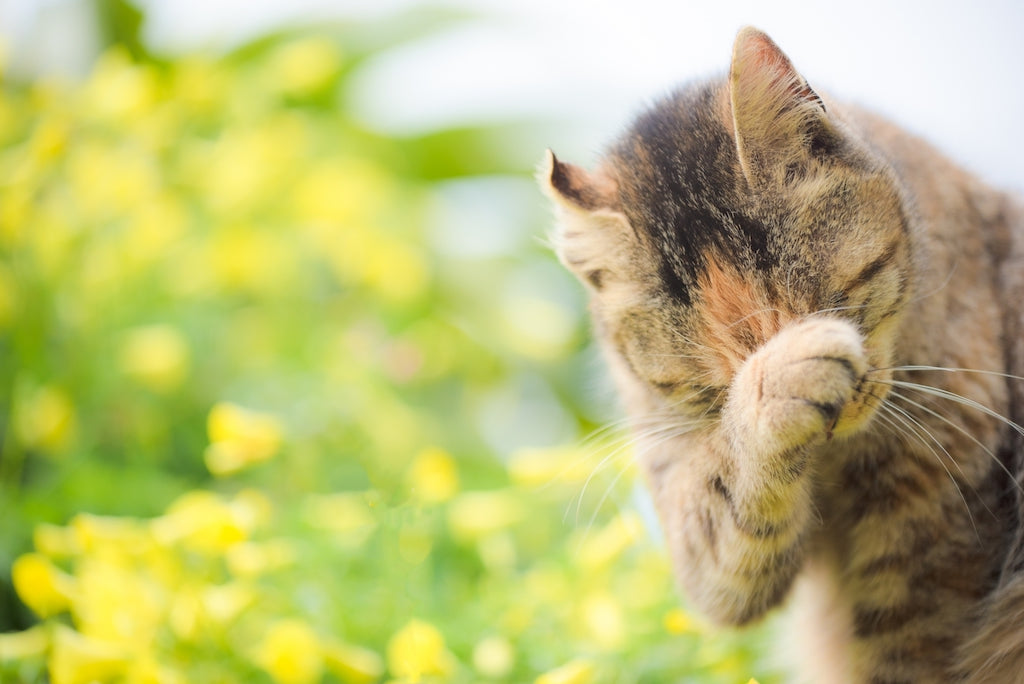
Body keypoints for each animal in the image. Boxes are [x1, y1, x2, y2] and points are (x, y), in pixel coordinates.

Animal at [540, 28, 1024, 684]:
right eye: (708, 387)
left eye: (833, 303)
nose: (835, 415)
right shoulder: (698, 541)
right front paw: (779, 383)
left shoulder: (934, 543)